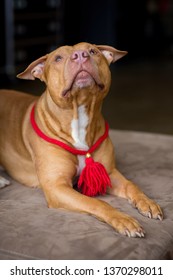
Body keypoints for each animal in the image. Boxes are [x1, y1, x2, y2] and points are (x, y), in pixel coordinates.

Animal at [0, 42, 163, 237]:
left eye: (93, 51)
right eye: (58, 58)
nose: (80, 55)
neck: (79, 114)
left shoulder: (110, 173)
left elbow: (132, 185)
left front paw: (148, 202)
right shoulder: (57, 187)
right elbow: (96, 202)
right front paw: (123, 219)